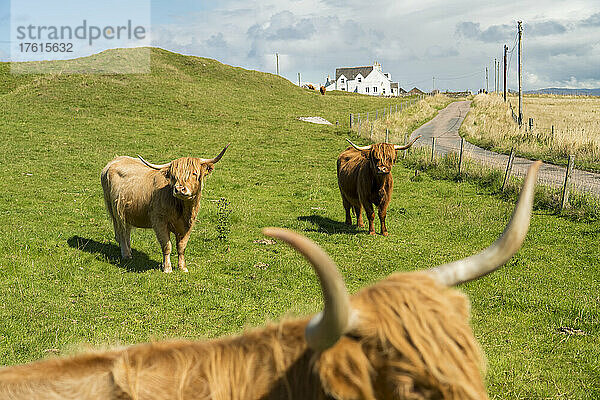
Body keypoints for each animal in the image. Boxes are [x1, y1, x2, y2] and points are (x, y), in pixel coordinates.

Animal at [101, 145, 227, 274]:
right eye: (174, 176)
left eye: (194, 173)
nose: (179, 189)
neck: (183, 209)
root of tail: (114, 161)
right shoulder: (159, 222)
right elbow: (167, 246)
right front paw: (167, 268)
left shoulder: (189, 225)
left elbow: (181, 246)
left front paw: (183, 267)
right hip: (116, 211)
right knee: (121, 231)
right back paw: (126, 254)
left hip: (126, 212)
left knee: (126, 231)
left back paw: (129, 251)